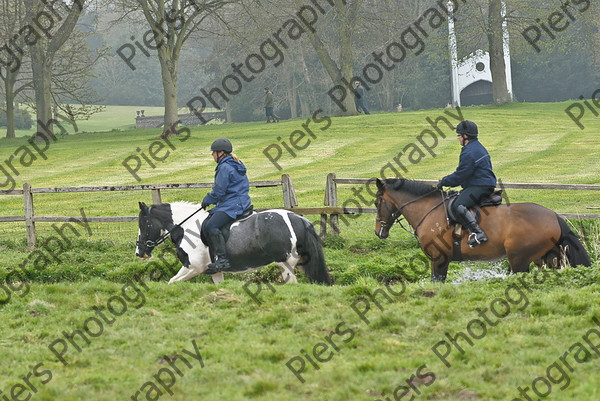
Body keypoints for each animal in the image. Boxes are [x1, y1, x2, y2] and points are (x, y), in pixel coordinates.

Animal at [137, 200, 332, 284]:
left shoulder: (192, 267)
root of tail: (299, 219)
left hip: (285, 263)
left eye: (144, 224)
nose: (139, 253)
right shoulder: (214, 271)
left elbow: (172, 282)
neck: (187, 227)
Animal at [376, 178, 592, 282]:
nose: (379, 232)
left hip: (519, 260)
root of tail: (554, 215)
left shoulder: (439, 259)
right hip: (548, 258)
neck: (430, 210)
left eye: (377, 202)